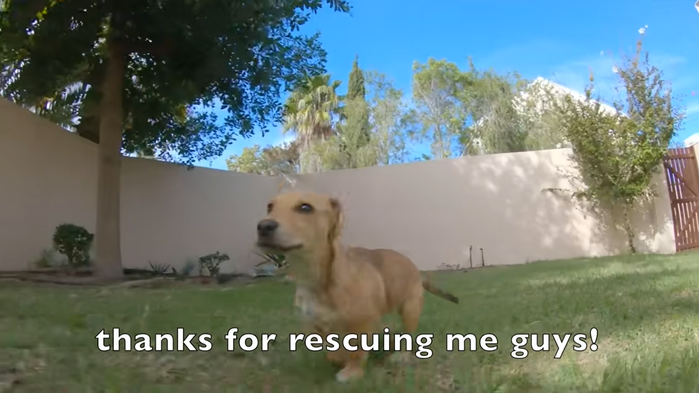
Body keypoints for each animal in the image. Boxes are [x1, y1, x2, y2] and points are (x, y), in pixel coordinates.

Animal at [258, 191, 460, 382]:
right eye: (269, 207)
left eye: (305, 208)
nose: (263, 226)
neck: (315, 277)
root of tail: (415, 268)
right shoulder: (315, 324)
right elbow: (332, 350)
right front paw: (339, 358)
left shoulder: (362, 322)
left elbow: (356, 350)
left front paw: (352, 371)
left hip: (410, 309)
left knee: (408, 336)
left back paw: (401, 355)